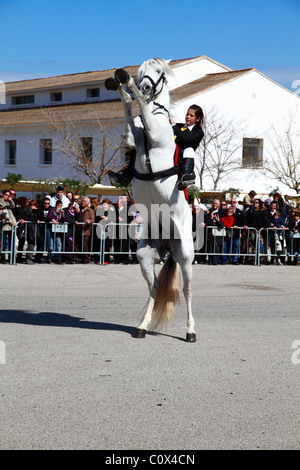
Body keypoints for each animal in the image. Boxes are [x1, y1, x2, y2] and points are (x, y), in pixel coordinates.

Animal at [105, 58, 197, 342]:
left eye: (157, 71)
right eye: (140, 71)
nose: (146, 86)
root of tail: (168, 245)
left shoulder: (156, 135)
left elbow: (140, 106)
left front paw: (129, 86)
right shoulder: (133, 137)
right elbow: (129, 114)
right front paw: (121, 84)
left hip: (186, 255)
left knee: (187, 291)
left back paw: (190, 331)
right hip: (144, 256)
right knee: (154, 288)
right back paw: (142, 327)